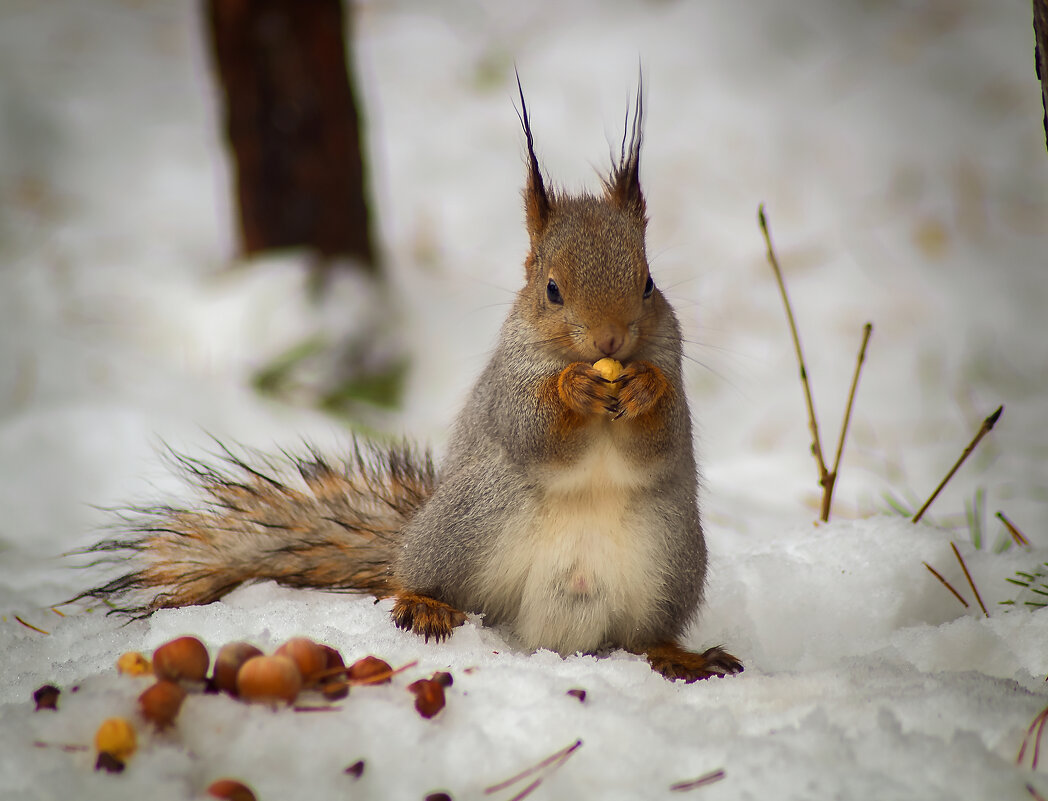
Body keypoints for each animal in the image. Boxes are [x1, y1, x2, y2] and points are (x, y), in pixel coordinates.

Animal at [73, 79, 741, 683]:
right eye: (551, 290)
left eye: (649, 283)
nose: (609, 342)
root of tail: (548, 637)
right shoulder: (506, 385)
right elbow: (532, 431)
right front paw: (571, 392)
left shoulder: (672, 360)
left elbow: (665, 434)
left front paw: (645, 390)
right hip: (471, 520)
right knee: (422, 579)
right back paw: (425, 603)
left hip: (670, 560)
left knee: (644, 637)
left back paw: (681, 657)